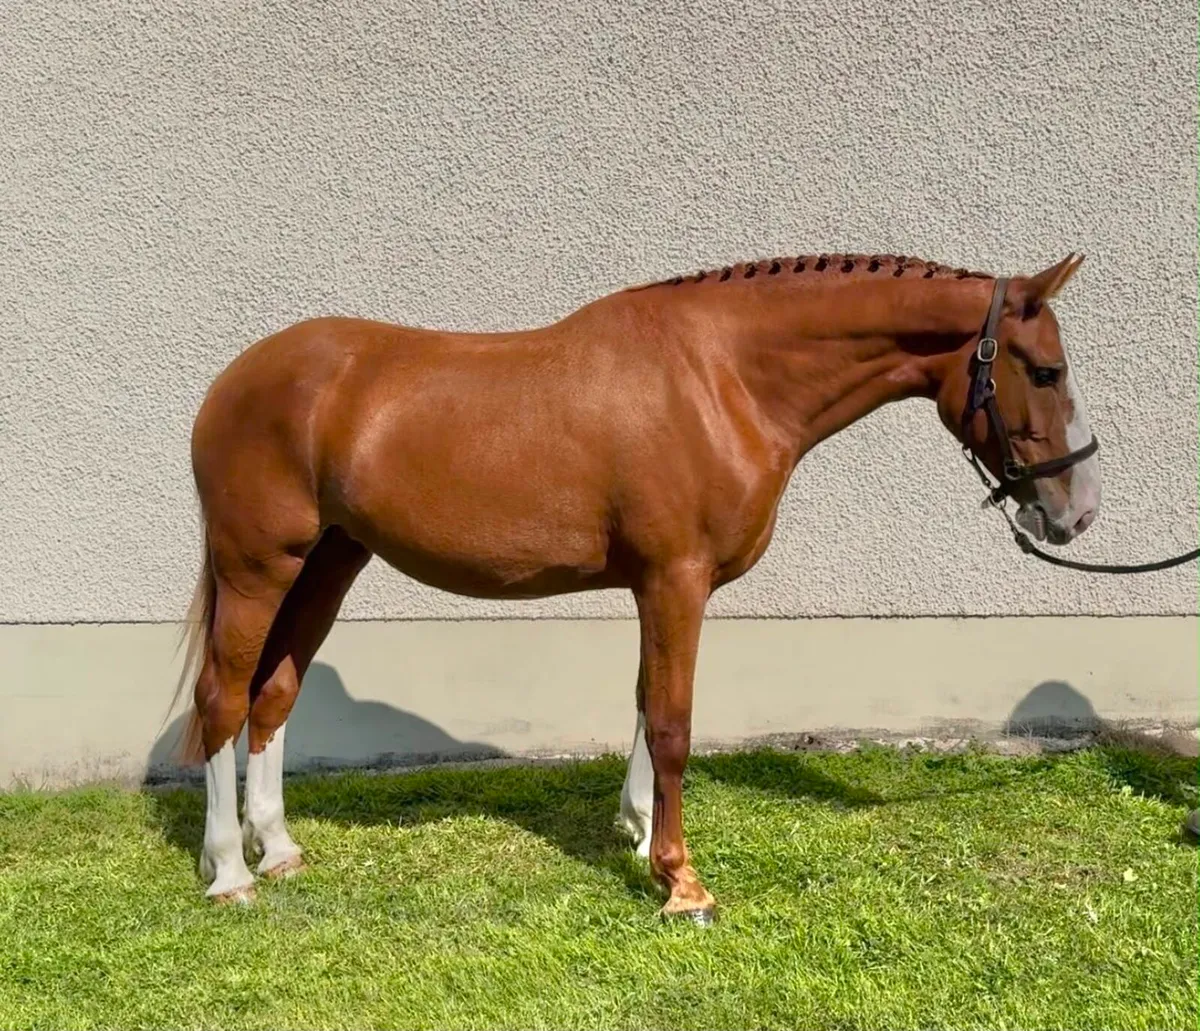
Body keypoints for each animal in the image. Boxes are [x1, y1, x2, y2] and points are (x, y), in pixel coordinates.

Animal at [170, 250, 1101, 923]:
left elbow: (648, 703)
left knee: (274, 694)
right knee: (223, 698)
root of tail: (232, 381)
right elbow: (674, 721)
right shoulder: (674, 578)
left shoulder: (667, 585)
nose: (1079, 510)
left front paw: (638, 829)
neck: (721, 376)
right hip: (260, 565)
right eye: (1045, 371)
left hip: (329, 562)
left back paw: (278, 848)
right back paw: (229, 872)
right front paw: (681, 881)